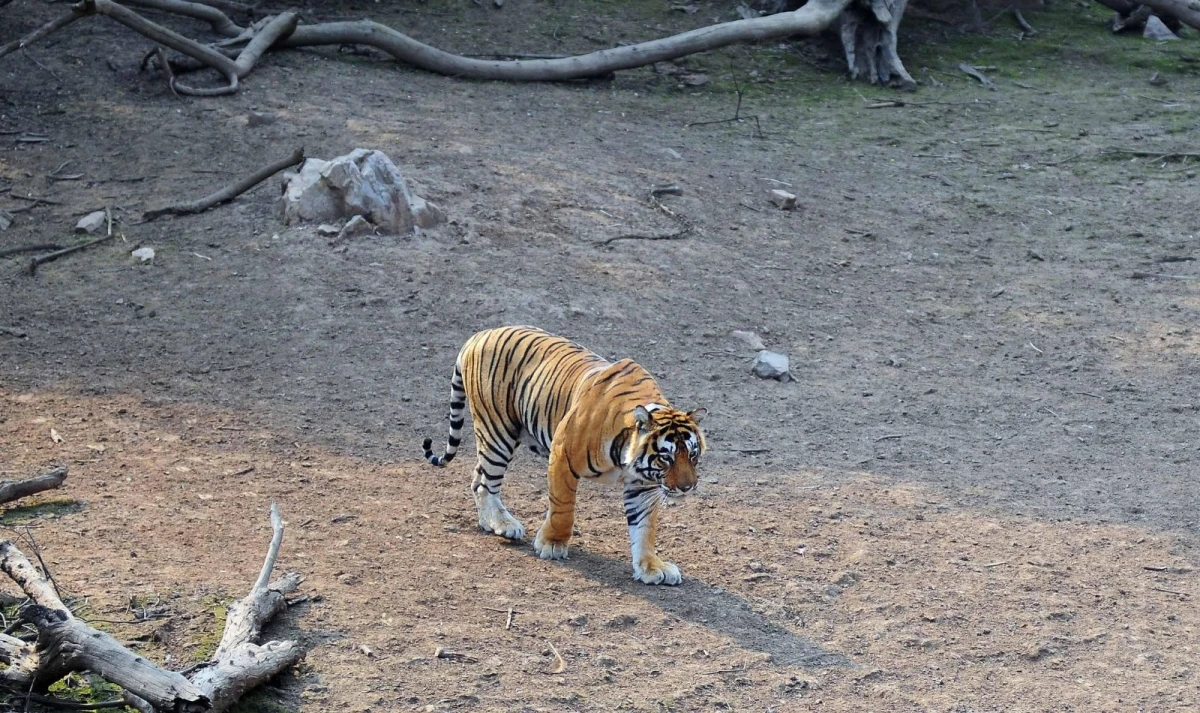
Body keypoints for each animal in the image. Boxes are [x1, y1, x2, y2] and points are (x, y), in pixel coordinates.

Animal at [421, 326, 707, 586]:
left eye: (693, 455)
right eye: (666, 458)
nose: (687, 487)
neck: (626, 458)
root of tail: (479, 334)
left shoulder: (644, 485)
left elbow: (644, 527)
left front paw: (650, 567)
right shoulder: (562, 457)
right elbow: (563, 509)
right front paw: (552, 544)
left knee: (476, 476)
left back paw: (489, 522)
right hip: (497, 432)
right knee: (484, 482)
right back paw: (504, 524)